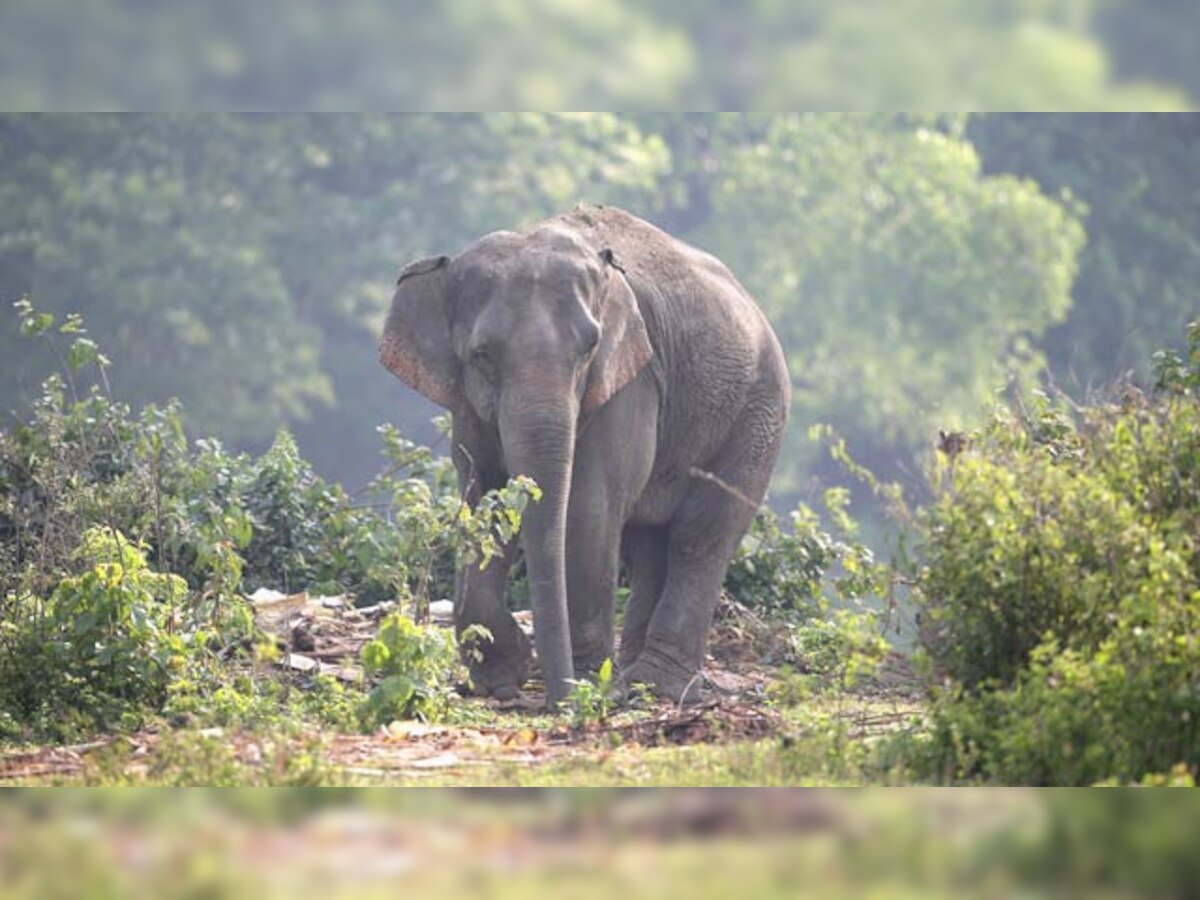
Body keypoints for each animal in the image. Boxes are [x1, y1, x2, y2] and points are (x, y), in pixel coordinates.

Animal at [381, 204, 787, 705]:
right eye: (482, 355)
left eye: (589, 348)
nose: (559, 697)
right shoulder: (467, 405)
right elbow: (483, 500)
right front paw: (503, 678)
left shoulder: (630, 381)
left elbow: (588, 507)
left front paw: (589, 682)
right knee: (648, 546)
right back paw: (633, 680)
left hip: (758, 418)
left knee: (700, 537)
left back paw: (656, 686)